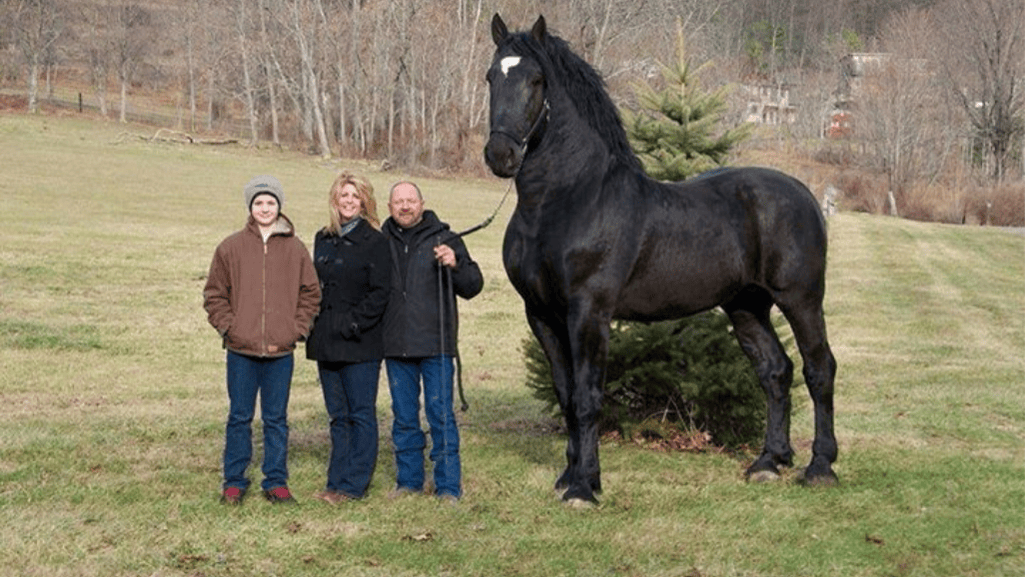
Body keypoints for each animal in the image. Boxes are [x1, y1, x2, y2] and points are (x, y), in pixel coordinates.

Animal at [484, 14, 838, 505]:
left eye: (536, 80)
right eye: (491, 77)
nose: (501, 155)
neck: (566, 201)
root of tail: (804, 194)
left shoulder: (588, 312)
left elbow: (588, 397)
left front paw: (584, 487)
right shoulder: (541, 314)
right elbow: (566, 395)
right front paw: (570, 474)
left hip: (800, 299)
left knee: (819, 368)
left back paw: (820, 466)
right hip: (746, 305)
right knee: (775, 371)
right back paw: (769, 462)